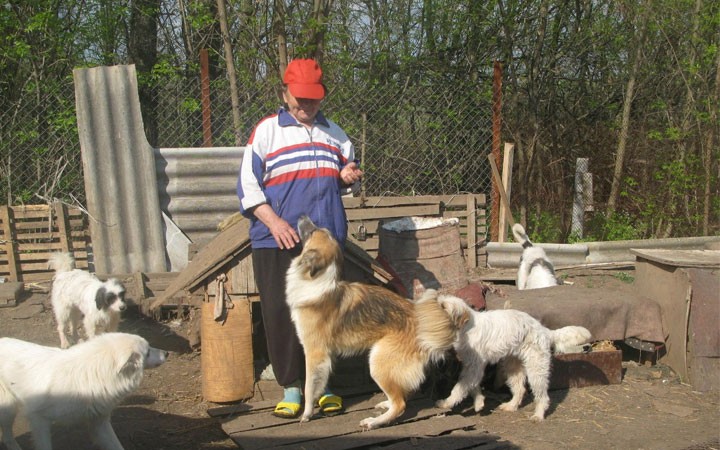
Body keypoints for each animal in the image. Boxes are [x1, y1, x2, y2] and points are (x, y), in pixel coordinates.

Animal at [0, 332, 167, 450]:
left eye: (149, 348)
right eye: (147, 352)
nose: (167, 353)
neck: (93, 375)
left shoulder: (99, 423)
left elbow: (117, 446)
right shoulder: (38, 419)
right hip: (8, 411)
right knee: (7, 437)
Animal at [284, 216, 464, 430]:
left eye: (313, 232)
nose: (302, 216)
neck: (317, 281)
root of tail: (419, 318)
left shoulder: (314, 352)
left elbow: (309, 387)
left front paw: (307, 414)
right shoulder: (325, 355)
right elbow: (320, 382)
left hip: (377, 362)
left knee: (400, 404)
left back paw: (374, 422)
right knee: (402, 393)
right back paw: (385, 405)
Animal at [434, 298, 592, 420]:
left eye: (444, 306)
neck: (466, 327)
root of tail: (544, 331)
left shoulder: (474, 367)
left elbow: (459, 388)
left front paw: (446, 403)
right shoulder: (471, 367)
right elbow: (472, 386)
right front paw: (479, 402)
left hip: (536, 371)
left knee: (543, 397)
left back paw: (538, 415)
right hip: (513, 367)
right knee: (520, 389)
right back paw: (511, 406)